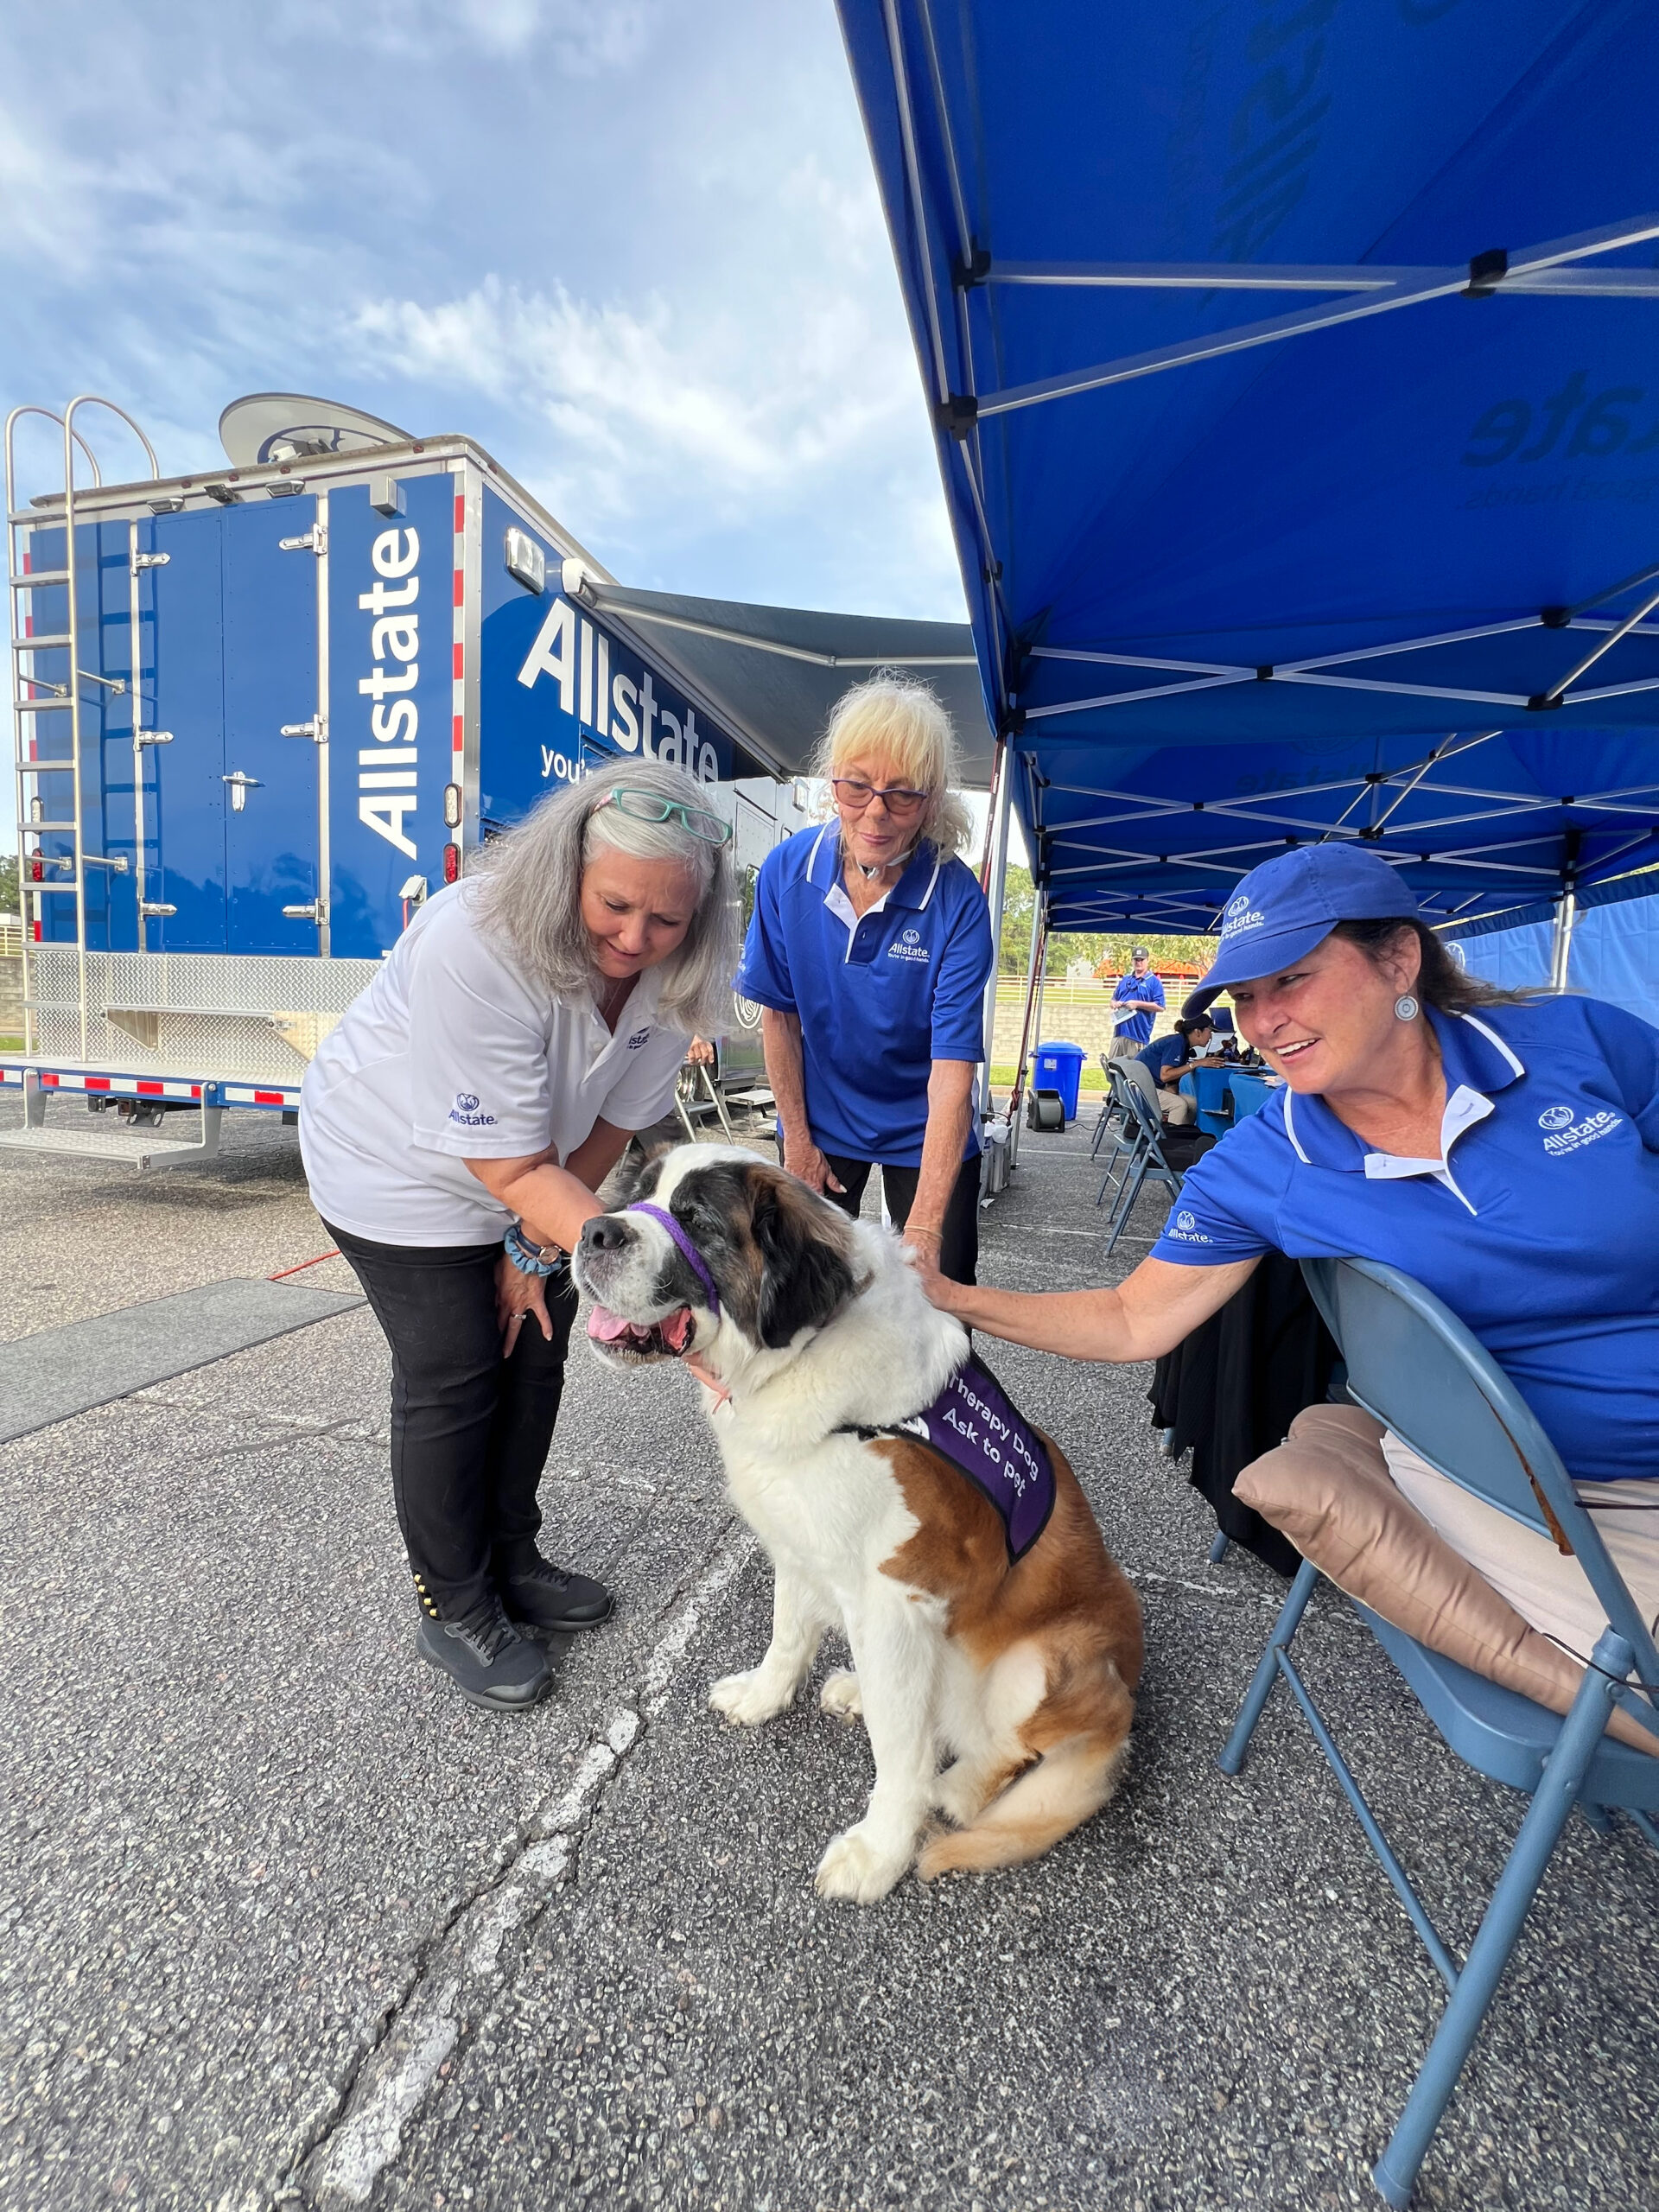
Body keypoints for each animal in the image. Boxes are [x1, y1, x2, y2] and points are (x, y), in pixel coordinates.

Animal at [575, 1150, 1141, 1910]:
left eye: (694, 1220)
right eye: (636, 1193)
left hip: (1045, 1661)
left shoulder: (896, 1601)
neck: (802, 1356)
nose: (595, 1231)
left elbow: (898, 1757)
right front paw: (763, 1697)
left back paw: (953, 1787)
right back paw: (857, 1690)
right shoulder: (797, 1546)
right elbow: (787, 1637)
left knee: (1002, 1749)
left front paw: (879, 1853)